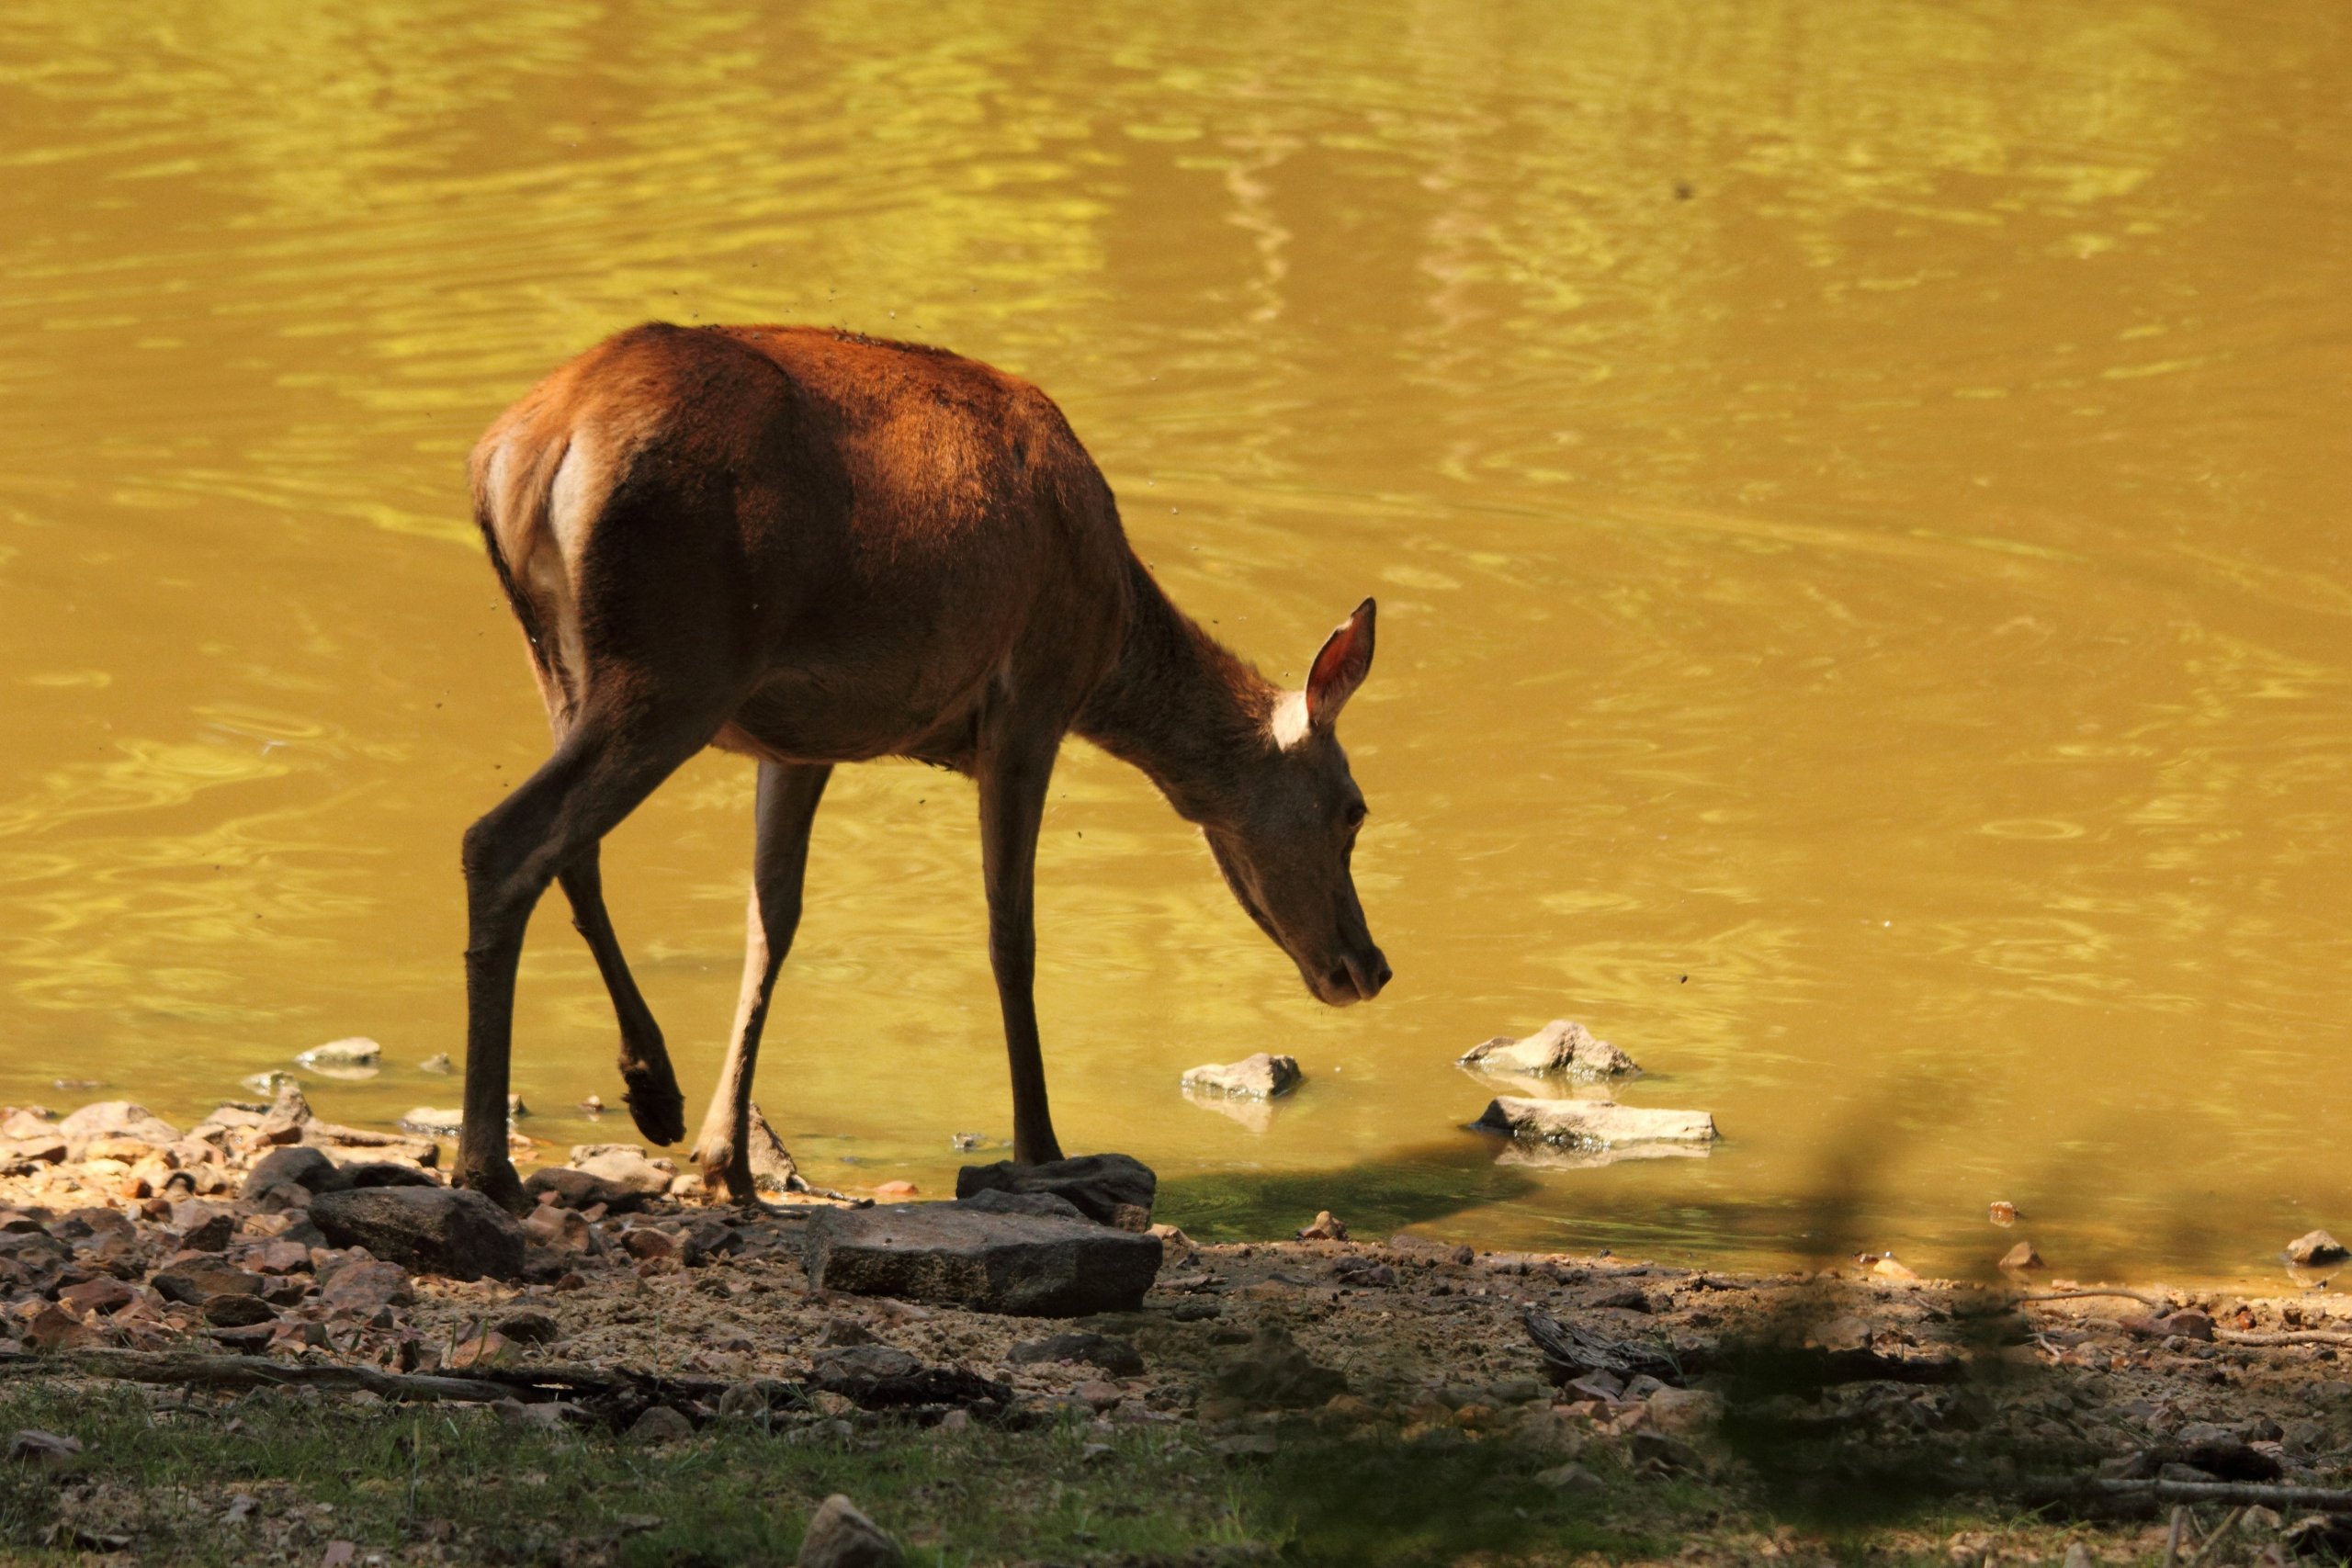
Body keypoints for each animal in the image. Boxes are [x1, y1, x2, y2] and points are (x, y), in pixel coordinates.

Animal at [451, 321, 1383, 1213]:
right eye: (1354, 807)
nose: (1370, 965)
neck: (1112, 638)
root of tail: (525, 454)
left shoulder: (800, 743)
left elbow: (770, 921)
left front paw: (727, 1162)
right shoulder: (1030, 702)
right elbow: (1013, 934)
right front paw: (1043, 1149)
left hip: (565, 665)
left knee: (572, 853)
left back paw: (651, 1088)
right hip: (678, 661)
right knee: (503, 839)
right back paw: (487, 1164)